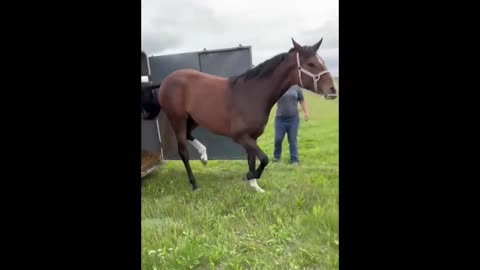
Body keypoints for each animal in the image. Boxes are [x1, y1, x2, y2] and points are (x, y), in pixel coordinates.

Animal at [142, 38, 338, 193]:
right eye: (311, 64)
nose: (332, 90)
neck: (252, 94)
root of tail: (166, 81)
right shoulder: (240, 136)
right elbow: (264, 159)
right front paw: (250, 176)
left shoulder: (252, 137)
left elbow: (253, 159)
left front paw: (255, 186)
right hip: (178, 119)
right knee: (183, 151)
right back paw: (195, 185)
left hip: (193, 119)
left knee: (190, 135)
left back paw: (204, 156)